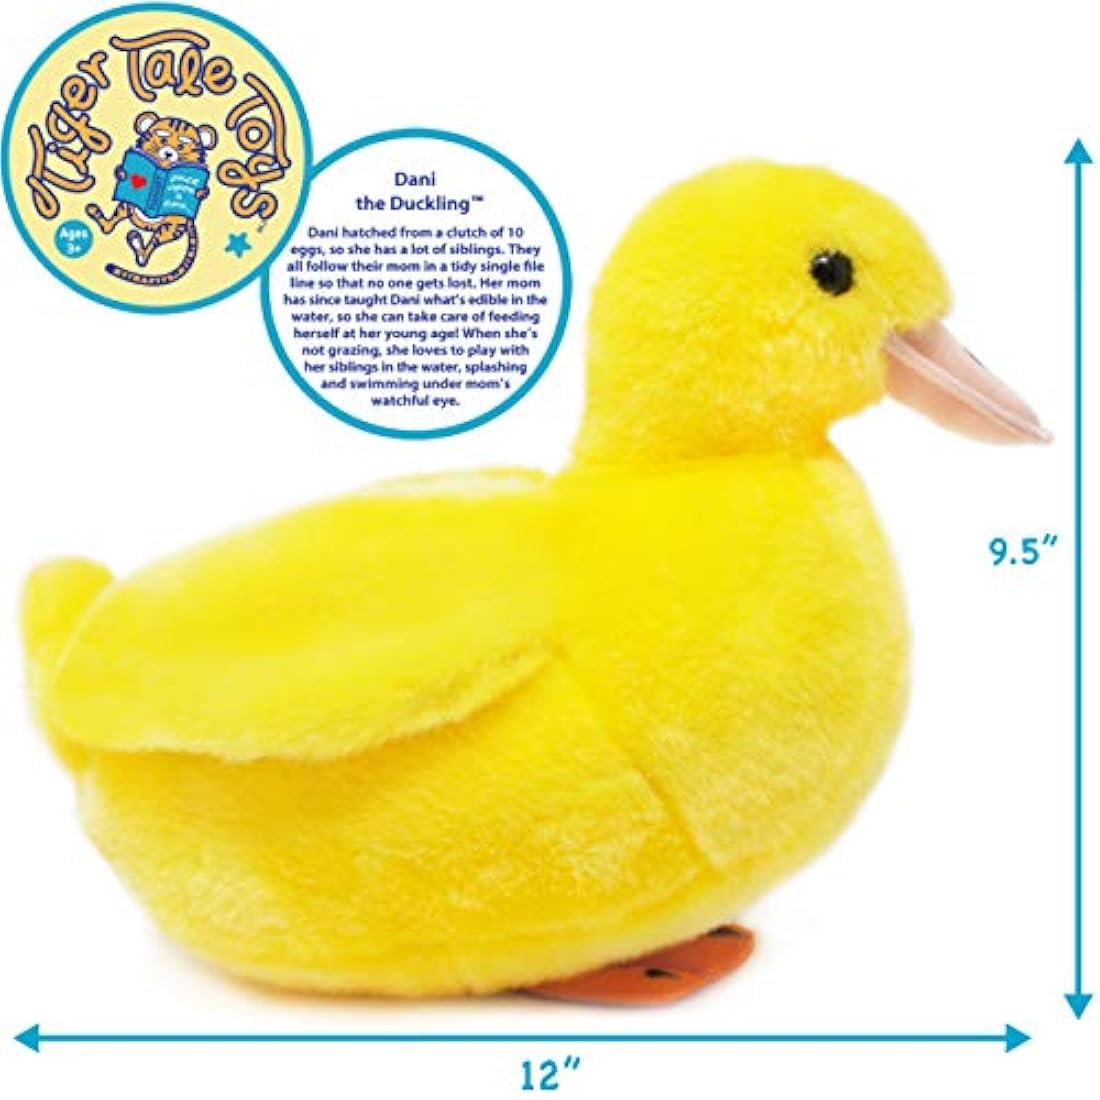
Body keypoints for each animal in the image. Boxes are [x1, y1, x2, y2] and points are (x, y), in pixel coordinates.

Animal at [85, 112, 217, 286]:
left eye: (181, 147)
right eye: (163, 141)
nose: (168, 153)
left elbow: (201, 190)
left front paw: (200, 192)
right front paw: (122, 172)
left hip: (170, 226)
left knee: (149, 249)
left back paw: (136, 243)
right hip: (127, 205)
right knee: (111, 224)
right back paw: (97, 214)